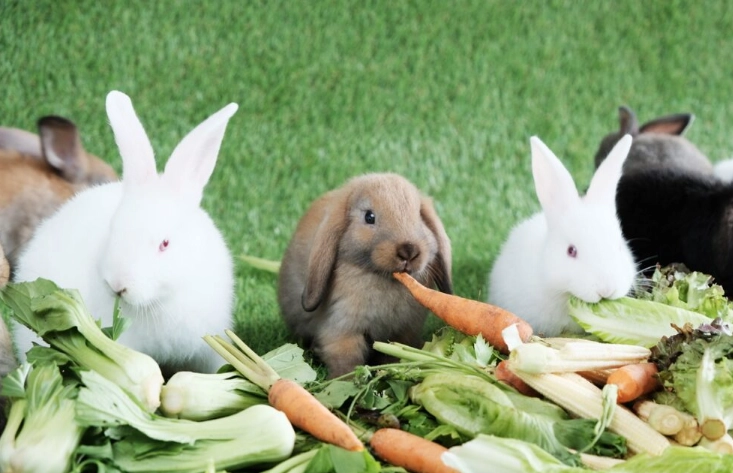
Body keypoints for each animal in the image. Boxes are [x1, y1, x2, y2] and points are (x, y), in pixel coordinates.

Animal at [277, 173, 453, 378]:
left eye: (419, 216)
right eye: (369, 217)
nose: (408, 251)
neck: (385, 279)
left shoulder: (404, 331)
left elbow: (395, 354)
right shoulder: (341, 329)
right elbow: (346, 360)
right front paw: (346, 381)